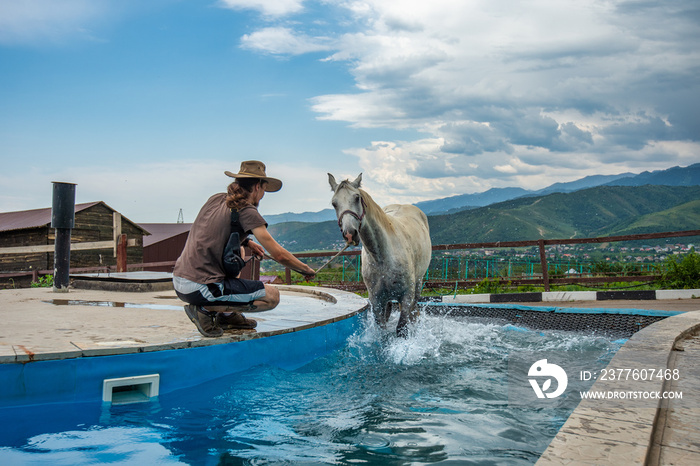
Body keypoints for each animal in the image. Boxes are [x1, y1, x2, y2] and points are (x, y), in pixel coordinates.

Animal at [330, 173, 432, 336]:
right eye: (334, 203)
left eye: (357, 197)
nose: (350, 234)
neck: (383, 256)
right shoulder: (376, 300)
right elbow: (382, 329)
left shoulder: (407, 297)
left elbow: (402, 328)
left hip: (418, 283)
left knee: (414, 311)